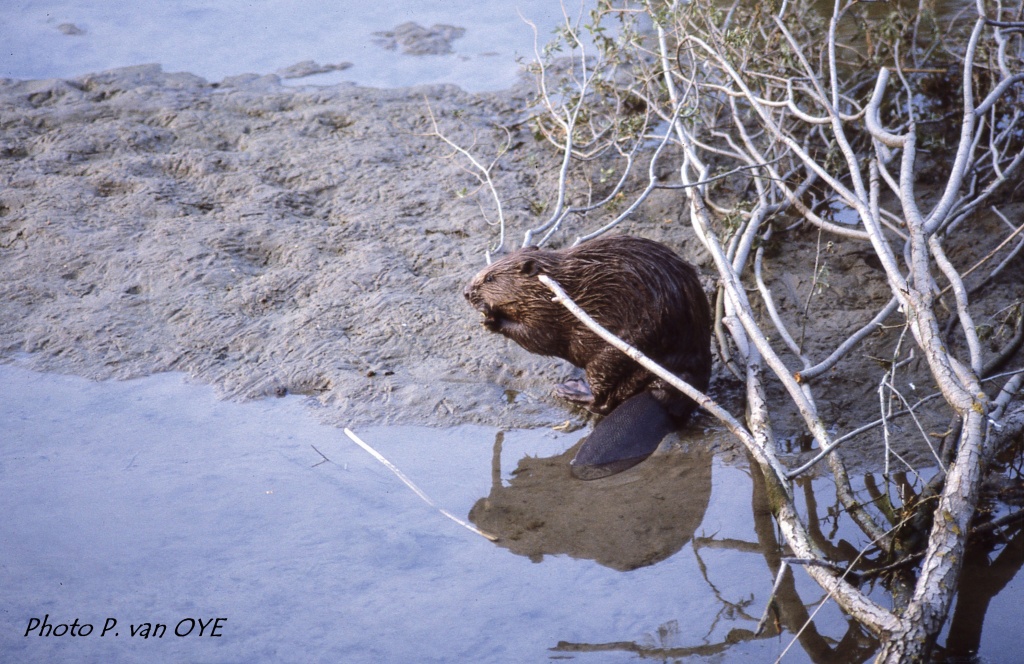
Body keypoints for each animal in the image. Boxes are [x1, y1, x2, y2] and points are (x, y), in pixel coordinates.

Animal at [466, 235, 712, 479]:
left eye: (490, 277)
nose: (466, 293)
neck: (554, 284)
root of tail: (661, 396)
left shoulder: (550, 311)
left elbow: (539, 338)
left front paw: (491, 319)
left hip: (614, 355)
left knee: (603, 401)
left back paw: (570, 390)